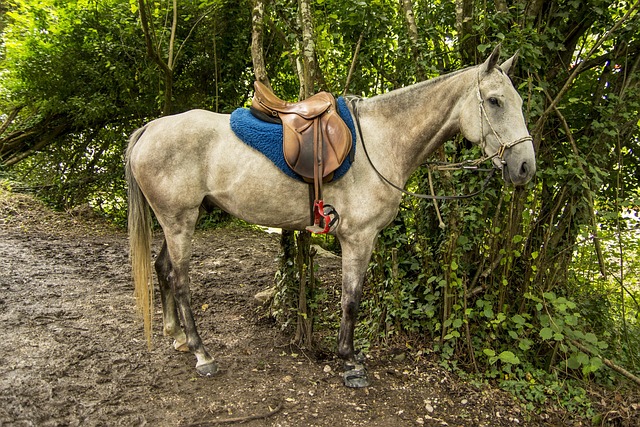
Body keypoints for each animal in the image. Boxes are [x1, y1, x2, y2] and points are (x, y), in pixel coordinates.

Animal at [125, 45, 536, 388]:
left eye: (517, 101)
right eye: (495, 101)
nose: (525, 167)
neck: (383, 139)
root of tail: (151, 128)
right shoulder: (359, 238)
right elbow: (351, 300)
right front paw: (350, 360)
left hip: (177, 221)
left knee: (163, 269)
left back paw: (178, 337)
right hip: (180, 222)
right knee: (180, 282)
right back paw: (202, 353)